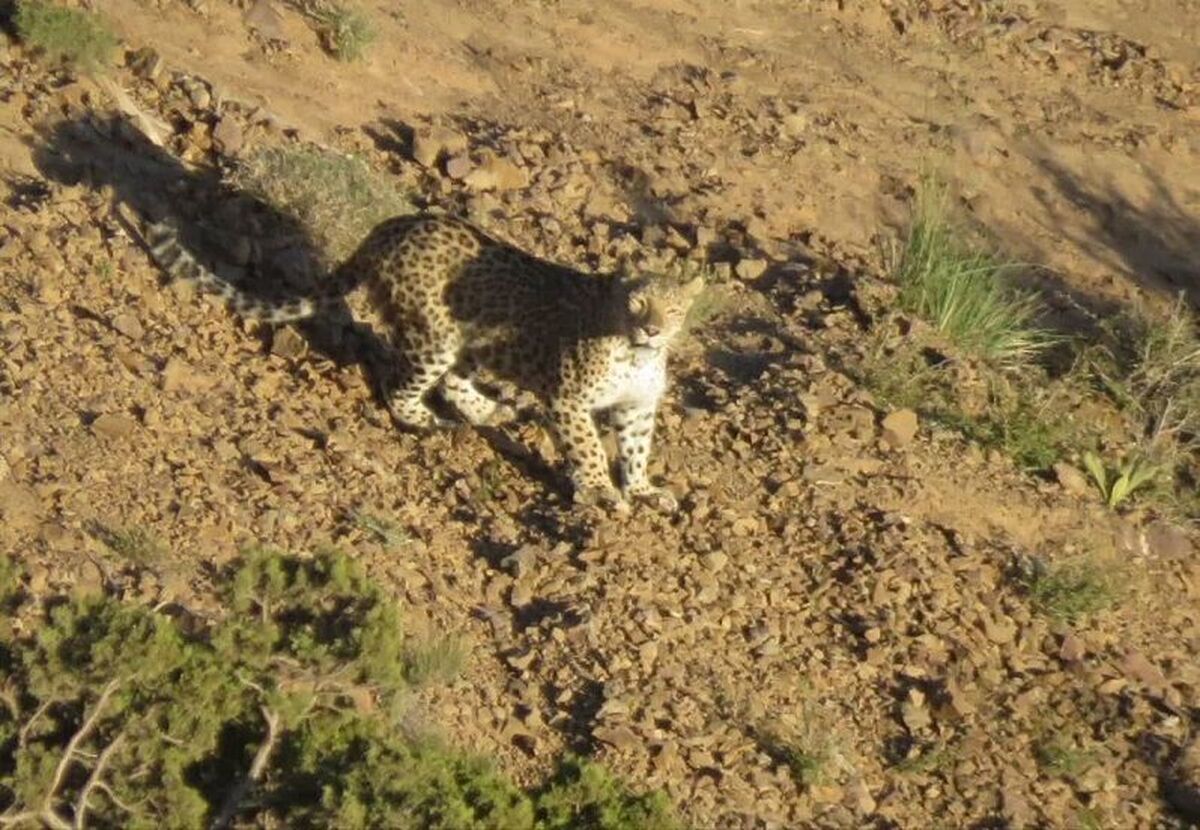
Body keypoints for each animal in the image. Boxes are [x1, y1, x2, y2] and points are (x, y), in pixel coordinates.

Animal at [124, 208, 700, 513]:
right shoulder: (569, 399)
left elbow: (636, 449)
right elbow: (588, 447)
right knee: (402, 383)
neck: (636, 353)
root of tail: (392, 225)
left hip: (466, 340)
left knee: (453, 382)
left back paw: (489, 411)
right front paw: (601, 490)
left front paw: (643, 489)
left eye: (672, 310)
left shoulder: (636, 408)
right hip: (434, 333)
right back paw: (426, 420)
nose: (651, 328)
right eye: (637, 303)